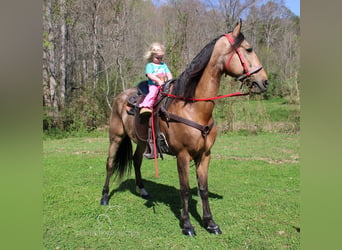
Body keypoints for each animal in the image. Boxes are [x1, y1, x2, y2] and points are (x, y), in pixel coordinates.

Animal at [98, 20, 268, 236]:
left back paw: (142, 190)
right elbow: (185, 189)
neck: (193, 107)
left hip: (142, 142)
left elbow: (203, 189)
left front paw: (210, 223)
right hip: (116, 137)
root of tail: (121, 96)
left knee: (136, 161)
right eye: (248, 49)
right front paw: (187, 225)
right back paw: (104, 197)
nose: (264, 81)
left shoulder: (205, 155)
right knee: (110, 164)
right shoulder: (183, 155)